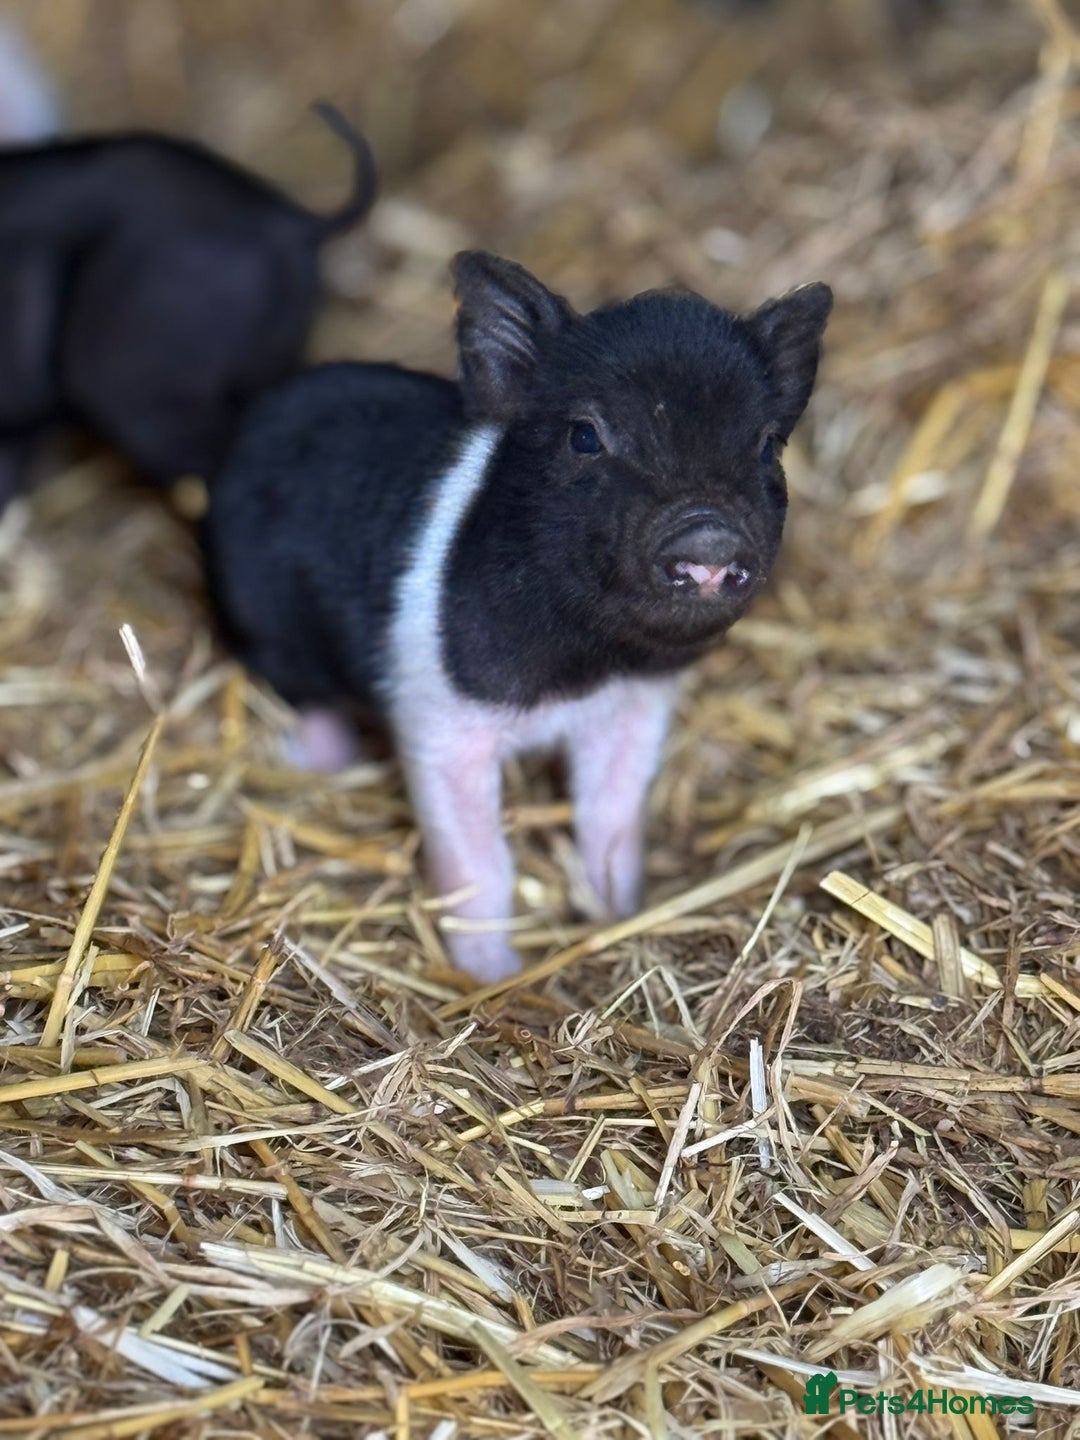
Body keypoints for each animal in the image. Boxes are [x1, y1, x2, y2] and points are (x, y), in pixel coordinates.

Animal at [203, 252, 831, 982]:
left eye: (766, 446)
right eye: (585, 435)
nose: (708, 538)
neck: (584, 669)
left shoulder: (635, 709)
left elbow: (611, 823)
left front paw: (619, 914)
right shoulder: (438, 724)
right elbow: (479, 863)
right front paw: (492, 975)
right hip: (267, 625)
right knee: (311, 698)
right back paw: (307, 758)